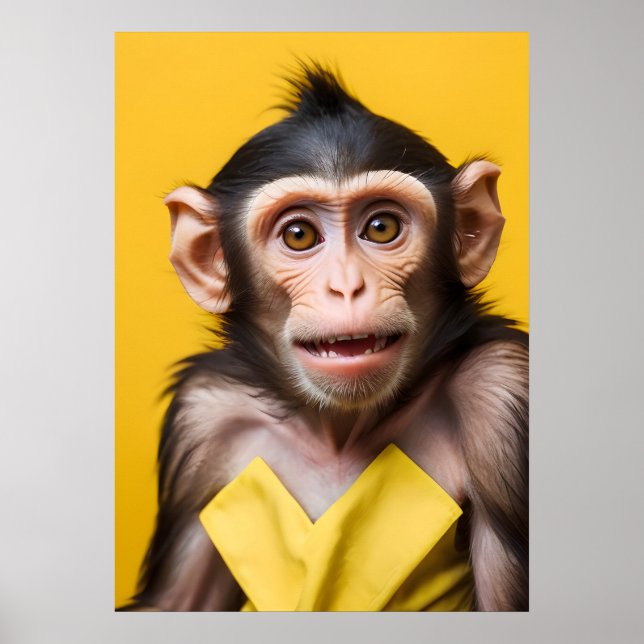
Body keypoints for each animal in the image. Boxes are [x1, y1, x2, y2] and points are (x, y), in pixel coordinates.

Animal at [122, 64, 528, 612]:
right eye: (299, 235)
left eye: (381, 227)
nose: (346, 285)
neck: (337, 430)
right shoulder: (201, 414)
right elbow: (174, 600)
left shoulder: (502, 390)